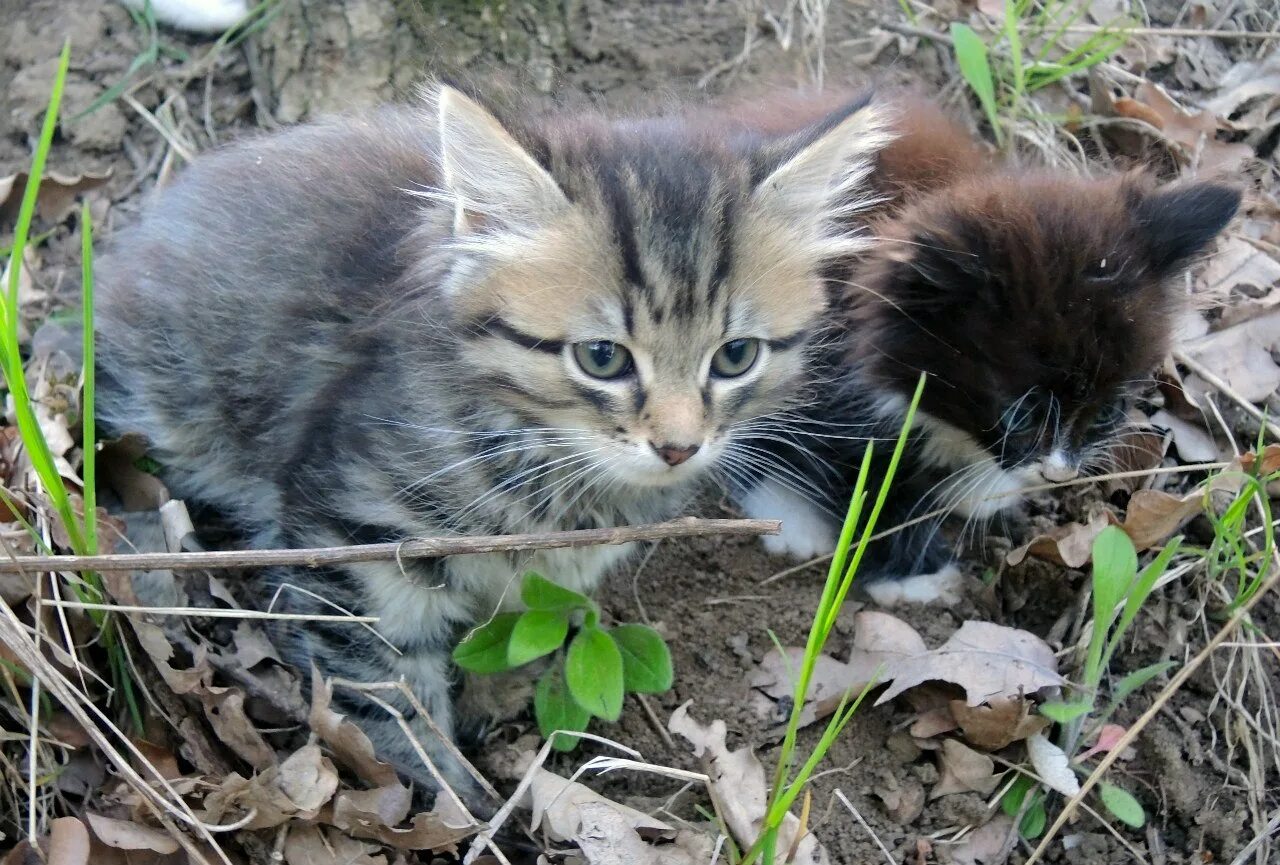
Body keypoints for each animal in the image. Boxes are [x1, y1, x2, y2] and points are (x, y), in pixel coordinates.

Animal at [97, 84, 890, 798]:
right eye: (602, 358)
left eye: (735, 357)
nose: (677, 447)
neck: (549, 464)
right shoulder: (351, 541)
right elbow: (386, 702)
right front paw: (453, 801)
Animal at [732, 89, 1239, 601]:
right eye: (1021, 416)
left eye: (1109, 413)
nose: (1058, 473)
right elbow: (866, 474)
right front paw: (915, 574)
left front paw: (979, 490)